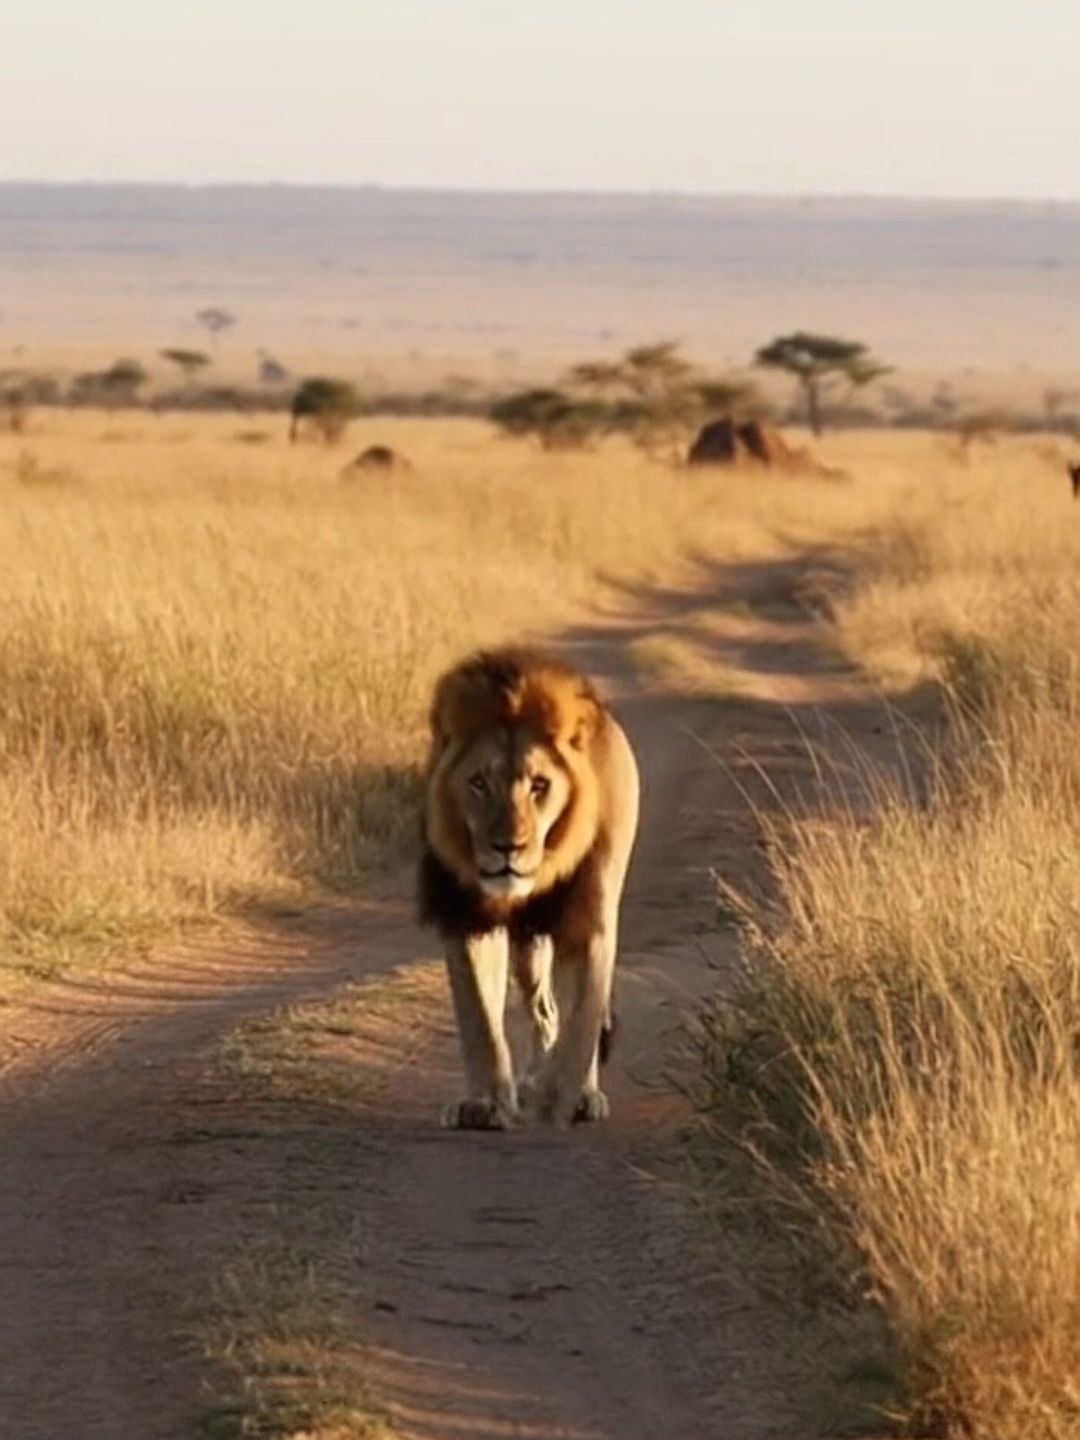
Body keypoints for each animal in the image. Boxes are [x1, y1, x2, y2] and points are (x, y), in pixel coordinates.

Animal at [418, 646, 640, 1131]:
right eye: (478, 783)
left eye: (540, 785)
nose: (508, 847)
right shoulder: (469, 918)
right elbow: (480, 1020)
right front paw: (485, 1104)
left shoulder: (588, 920)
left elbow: (583, 1019)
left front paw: (567, 1097)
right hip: (528, 948)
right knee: (544, 1008)